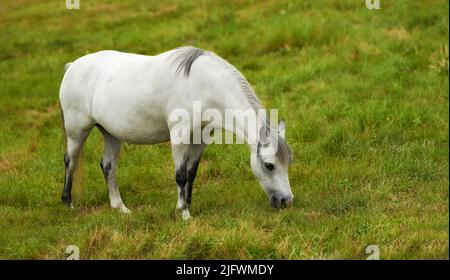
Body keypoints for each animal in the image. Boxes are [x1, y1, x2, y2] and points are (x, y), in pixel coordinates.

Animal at [58, 47, 294, 220]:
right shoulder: (179, 135)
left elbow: (191, 172)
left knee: (108, 166)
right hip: (76, 129)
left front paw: (188, 203)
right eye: (269, 165)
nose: (286, 201)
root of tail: (72, 67)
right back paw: (68, 202)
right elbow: (180, 175)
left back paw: (120, 208)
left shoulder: (201, 136)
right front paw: (184, 213)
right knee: (71, 160)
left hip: (111, 134)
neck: (204, 85)